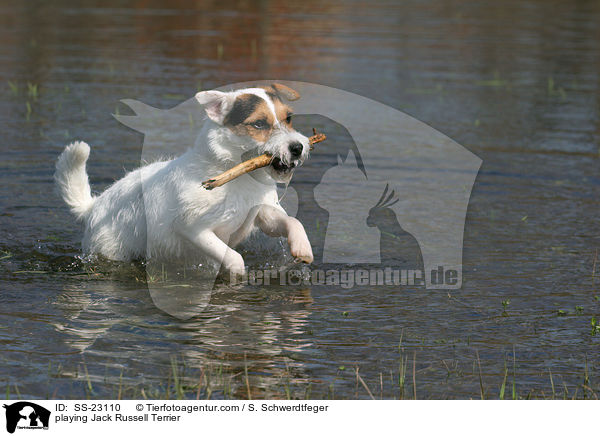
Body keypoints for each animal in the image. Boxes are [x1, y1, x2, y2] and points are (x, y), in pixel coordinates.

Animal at [55, 83, 314, 274]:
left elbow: (292, 222)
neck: (234, 173)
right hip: (111, 251)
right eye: (259, 124)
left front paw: (302, 247)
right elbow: (233, 258)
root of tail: (93, 206)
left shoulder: (263, 213)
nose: (298, 147)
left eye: (289, 118)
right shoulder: (193, 229)